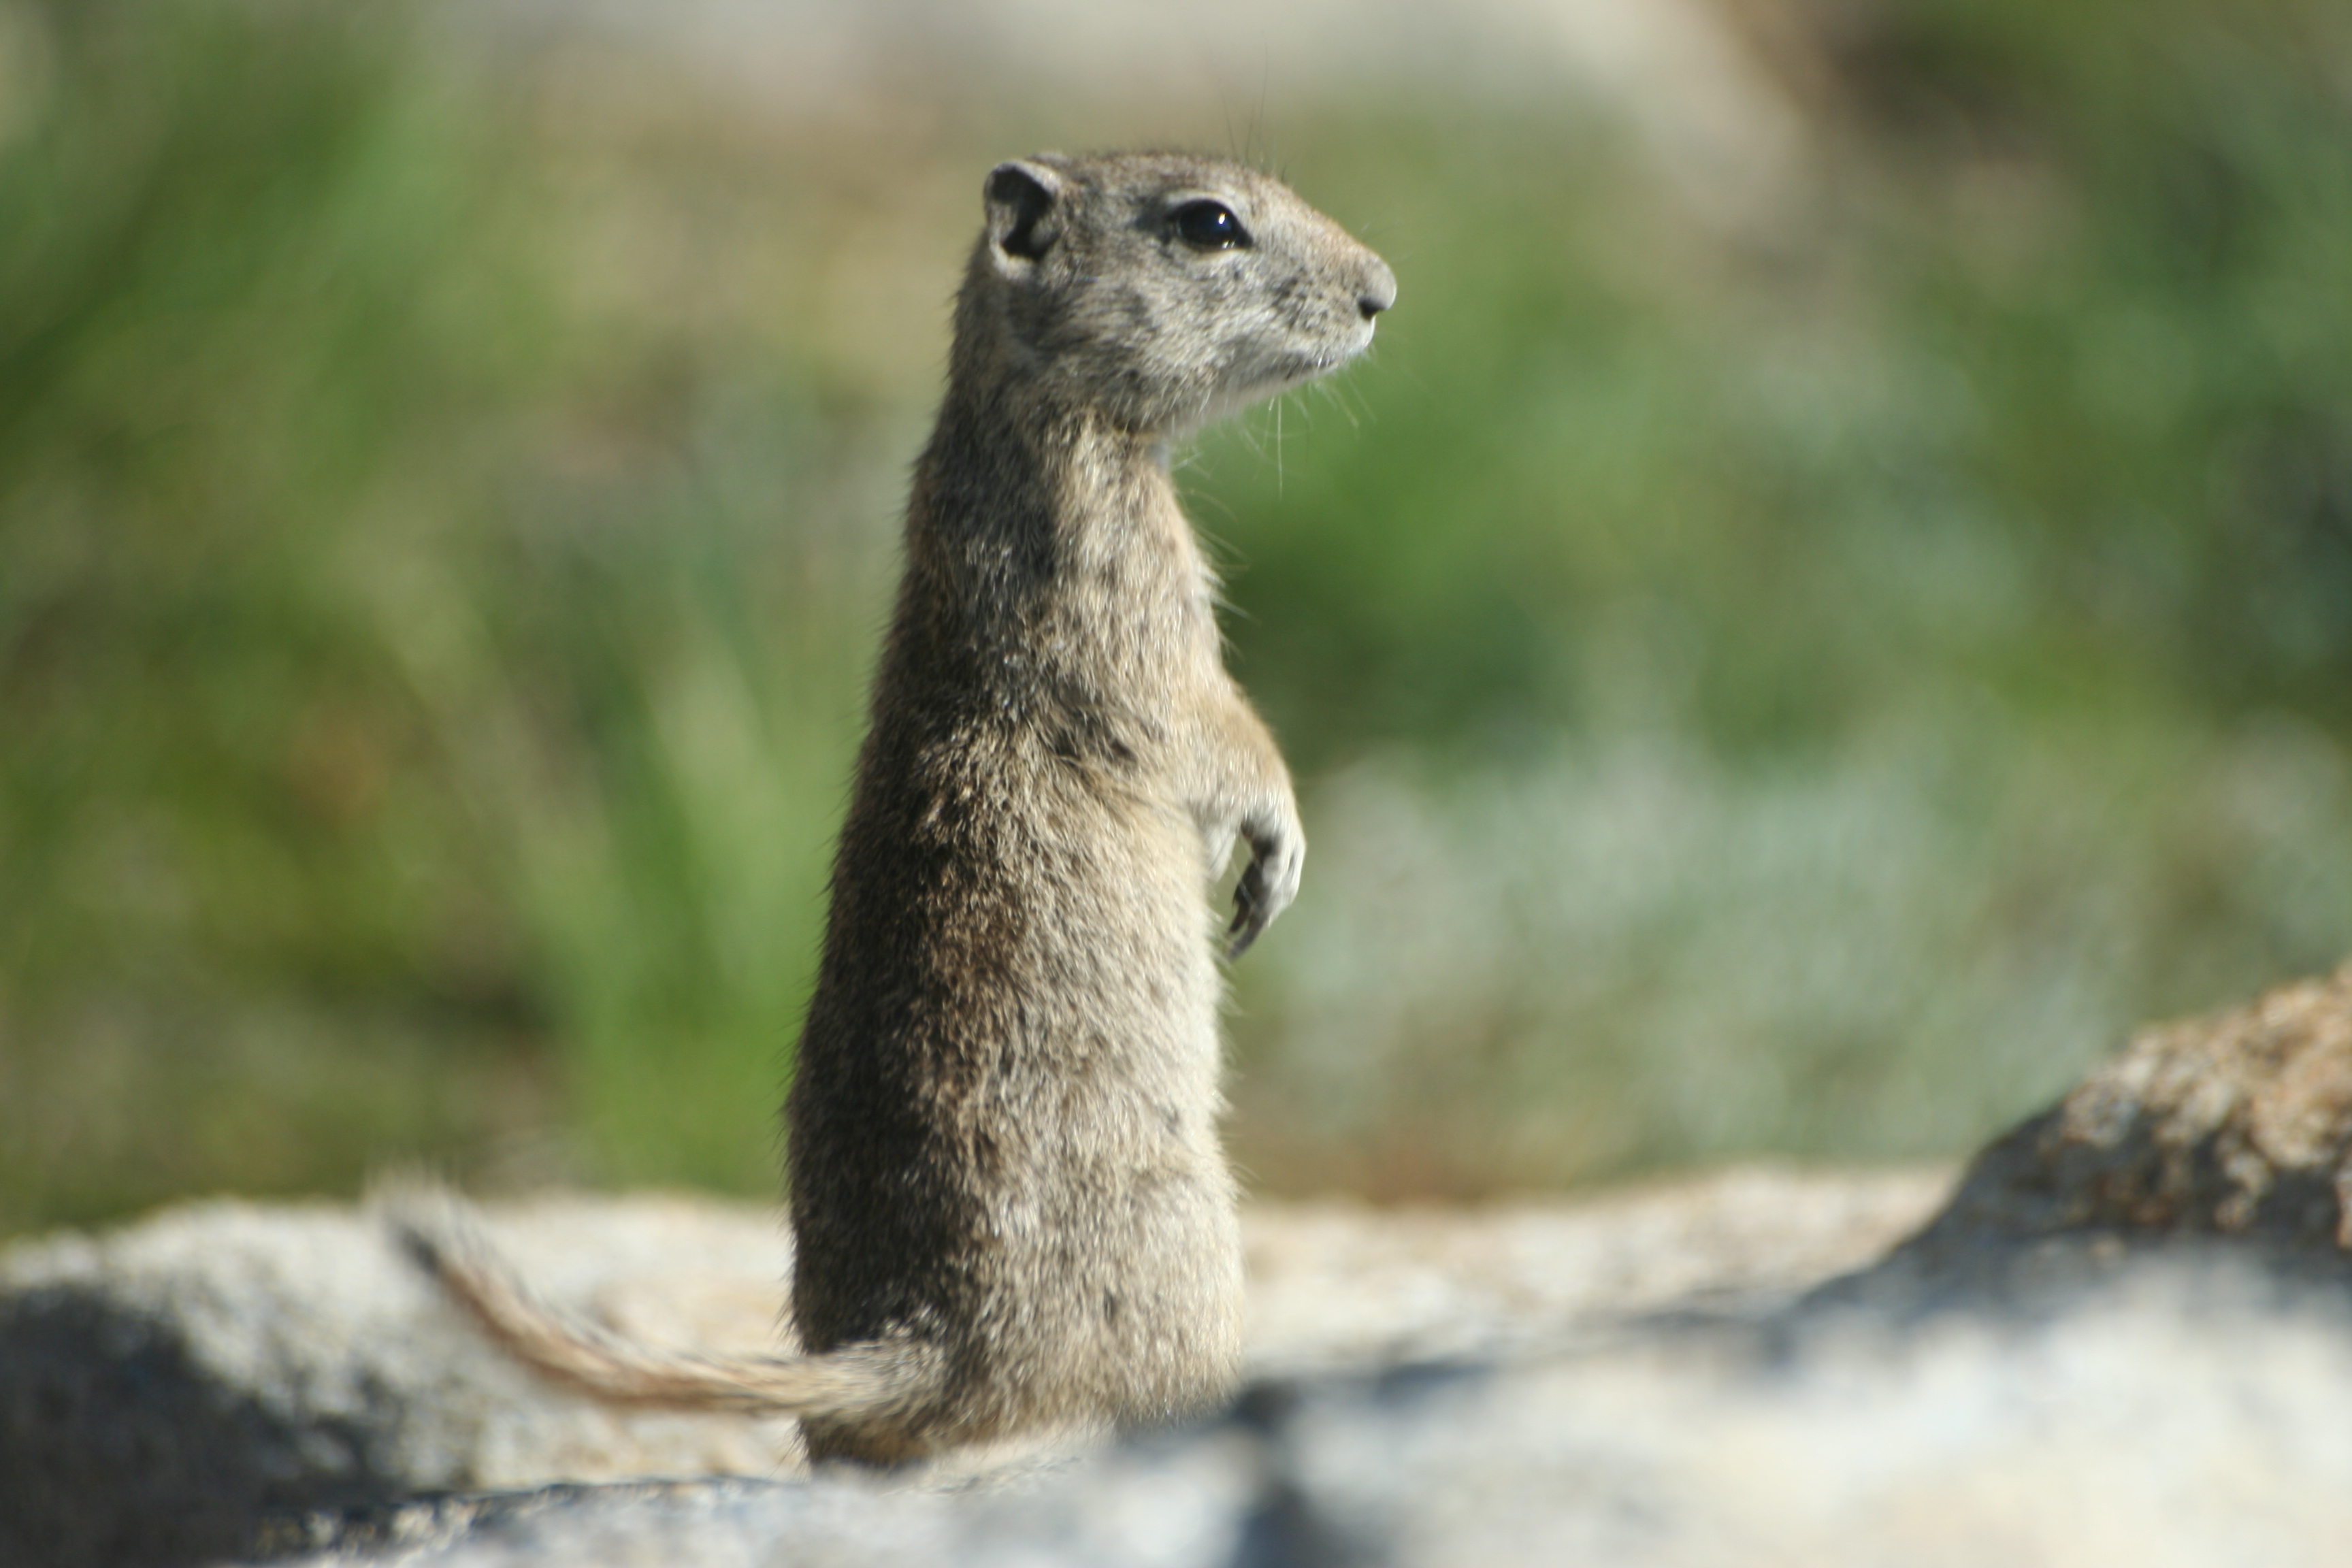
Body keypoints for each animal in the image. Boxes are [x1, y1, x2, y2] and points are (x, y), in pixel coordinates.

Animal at [395, 150, 1392, 1476]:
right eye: (1210, 224)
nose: (1384, 291)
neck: (1019, 421)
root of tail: (918, 1340)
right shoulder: (1133, 602)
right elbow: (1218, 732)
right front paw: (1276, 849)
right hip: (1199, 1239)